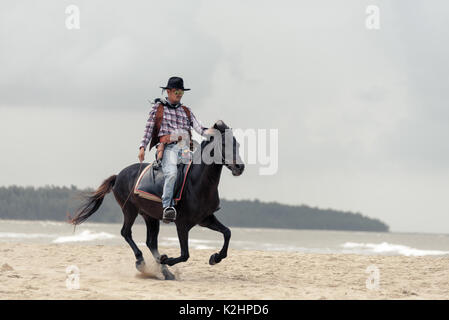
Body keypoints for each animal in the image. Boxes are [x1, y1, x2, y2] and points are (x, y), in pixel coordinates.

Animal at [70, 121, 245, 278]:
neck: (196, 182)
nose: (240, 167)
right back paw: (142, 262)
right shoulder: (182, 224)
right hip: (130, 210)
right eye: (223, 144)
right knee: (126, 232)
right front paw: (166, 259)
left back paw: (165, 272)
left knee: (151, 242)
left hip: (150, 216)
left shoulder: (205, 219)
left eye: (237, 144)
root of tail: (118, 175)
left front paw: (215, 258)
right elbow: (185, 254)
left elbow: (227, 233)